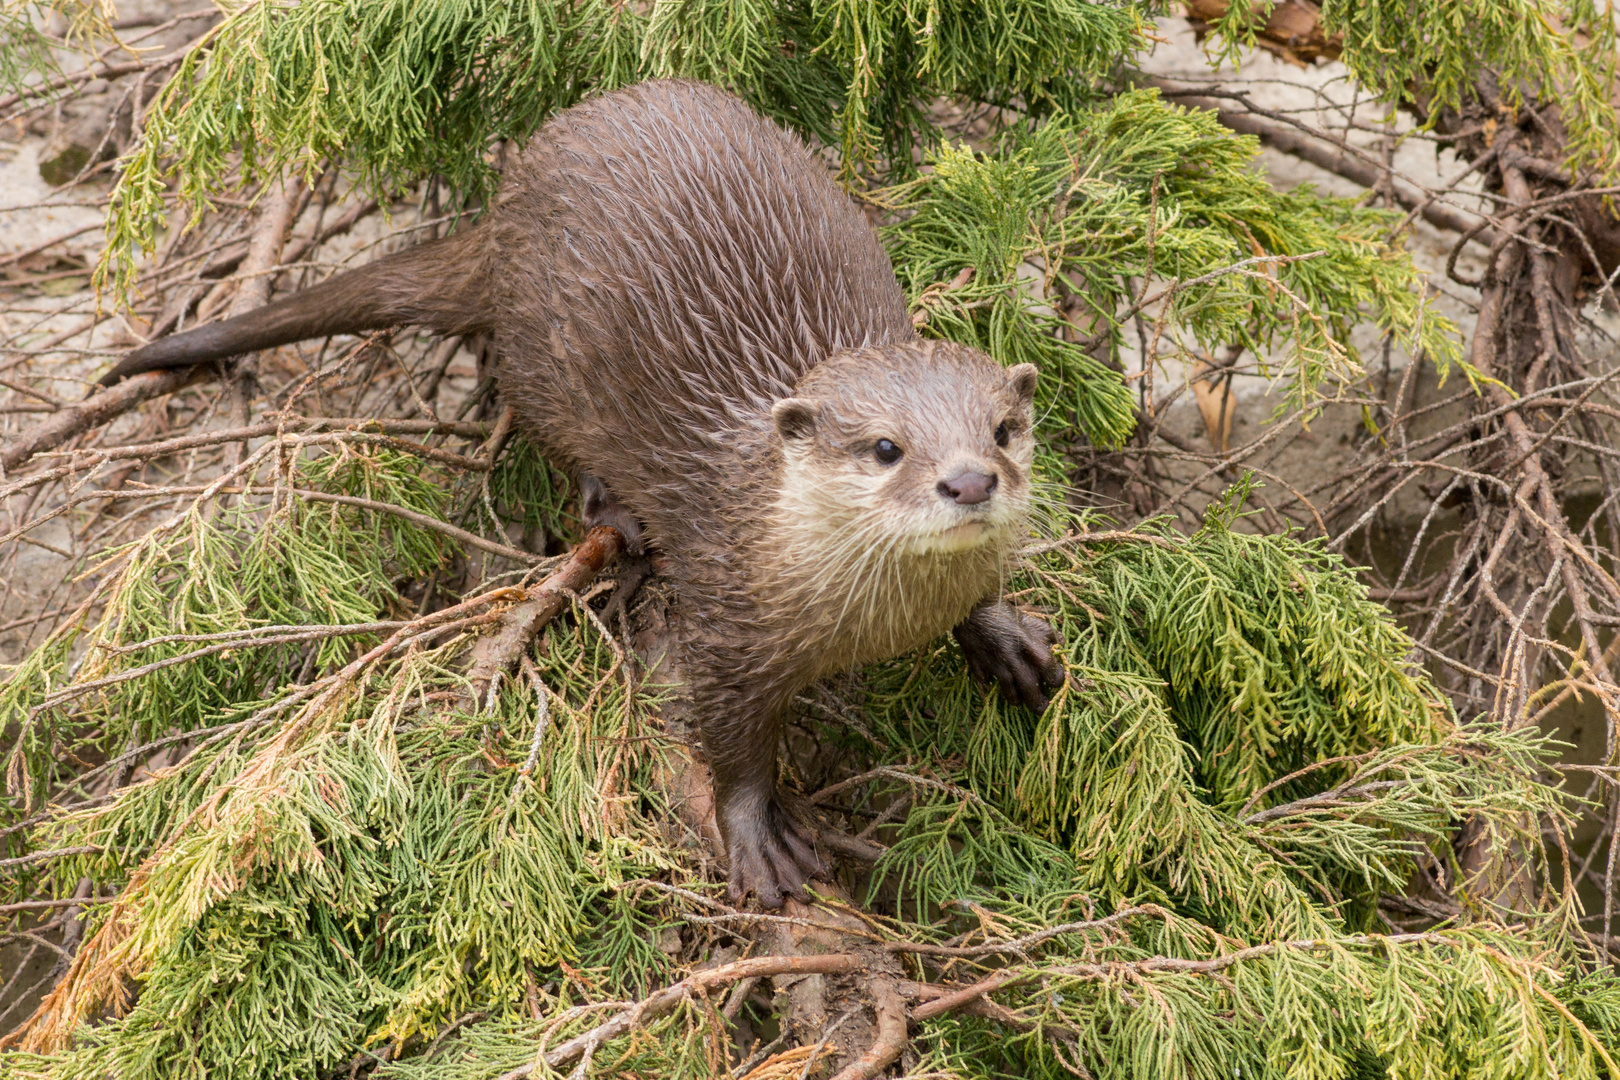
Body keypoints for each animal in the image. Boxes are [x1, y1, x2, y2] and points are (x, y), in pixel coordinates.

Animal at [99, 79, 1063, 907]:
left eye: (1002, 431)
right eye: (886, 447)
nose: (969, 480)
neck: (875, 617)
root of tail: (509, 196)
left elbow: (984, 599)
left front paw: (1005, 634)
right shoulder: (728, 624)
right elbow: (730, 744)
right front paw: (757, 835)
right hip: (541, 352)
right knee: (540, 418)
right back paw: (614, 512)